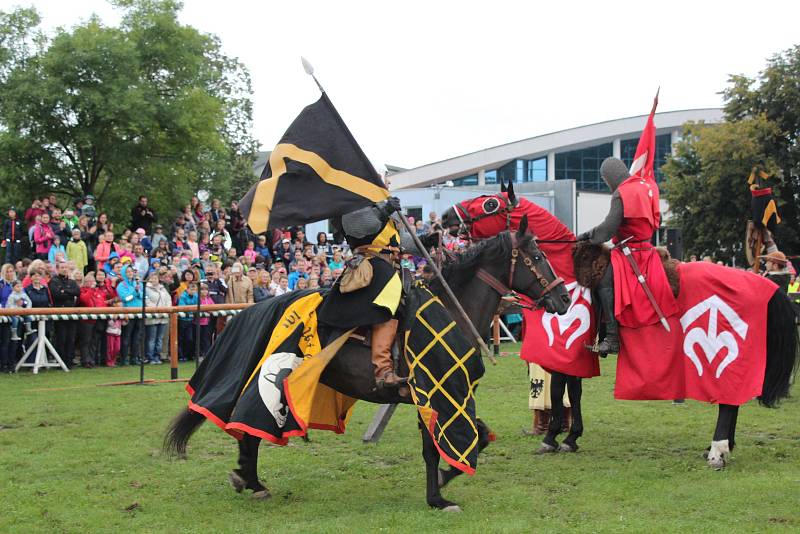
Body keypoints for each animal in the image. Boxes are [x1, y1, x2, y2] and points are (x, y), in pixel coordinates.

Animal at [166, 220, 572, 512]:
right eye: (537, 256)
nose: (563, 298)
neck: (454, 309)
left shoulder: (440, 399)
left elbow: (479, 436)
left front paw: (441, 482)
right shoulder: (436, 395)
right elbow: (440, 446)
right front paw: (438, 495)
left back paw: (248, 479)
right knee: (251, 425)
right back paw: (251, 481)